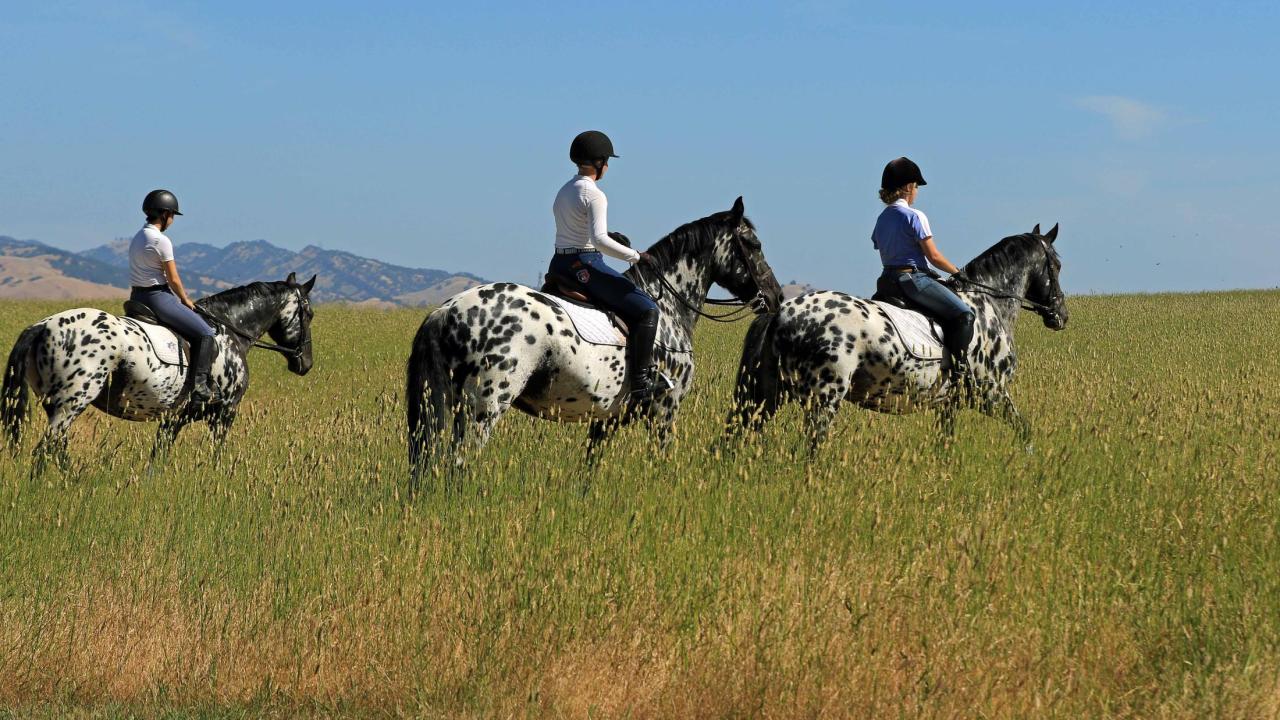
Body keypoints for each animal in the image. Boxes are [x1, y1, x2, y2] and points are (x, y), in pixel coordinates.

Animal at [1, 270, 316, 471]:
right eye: (310, 314)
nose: (305, 364)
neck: (230, 331)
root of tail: (42, 326)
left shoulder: (174, 418)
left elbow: (159, 457)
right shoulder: (225, 413)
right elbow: (216, 455)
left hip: (57, 405)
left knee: (56, 450)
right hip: (72, 402)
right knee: (44, 451)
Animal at [407, 193, 778, 479]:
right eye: (754, 244)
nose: (773, 297)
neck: (668, 304)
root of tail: (446, 311)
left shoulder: (606, 419)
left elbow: (590, 469)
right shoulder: (665, 410)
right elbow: (660, 461)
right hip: (485, 406)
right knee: (458, 463)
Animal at [721, 224, 1070, 450]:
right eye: (1057, 264)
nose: (1061, 316)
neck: (988, 303)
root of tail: (781, 311)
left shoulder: (949, 404)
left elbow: (945, 445)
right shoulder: (992, 394)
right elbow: (1025, 431)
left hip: (767, 394)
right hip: (823, 397)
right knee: (810, 449)